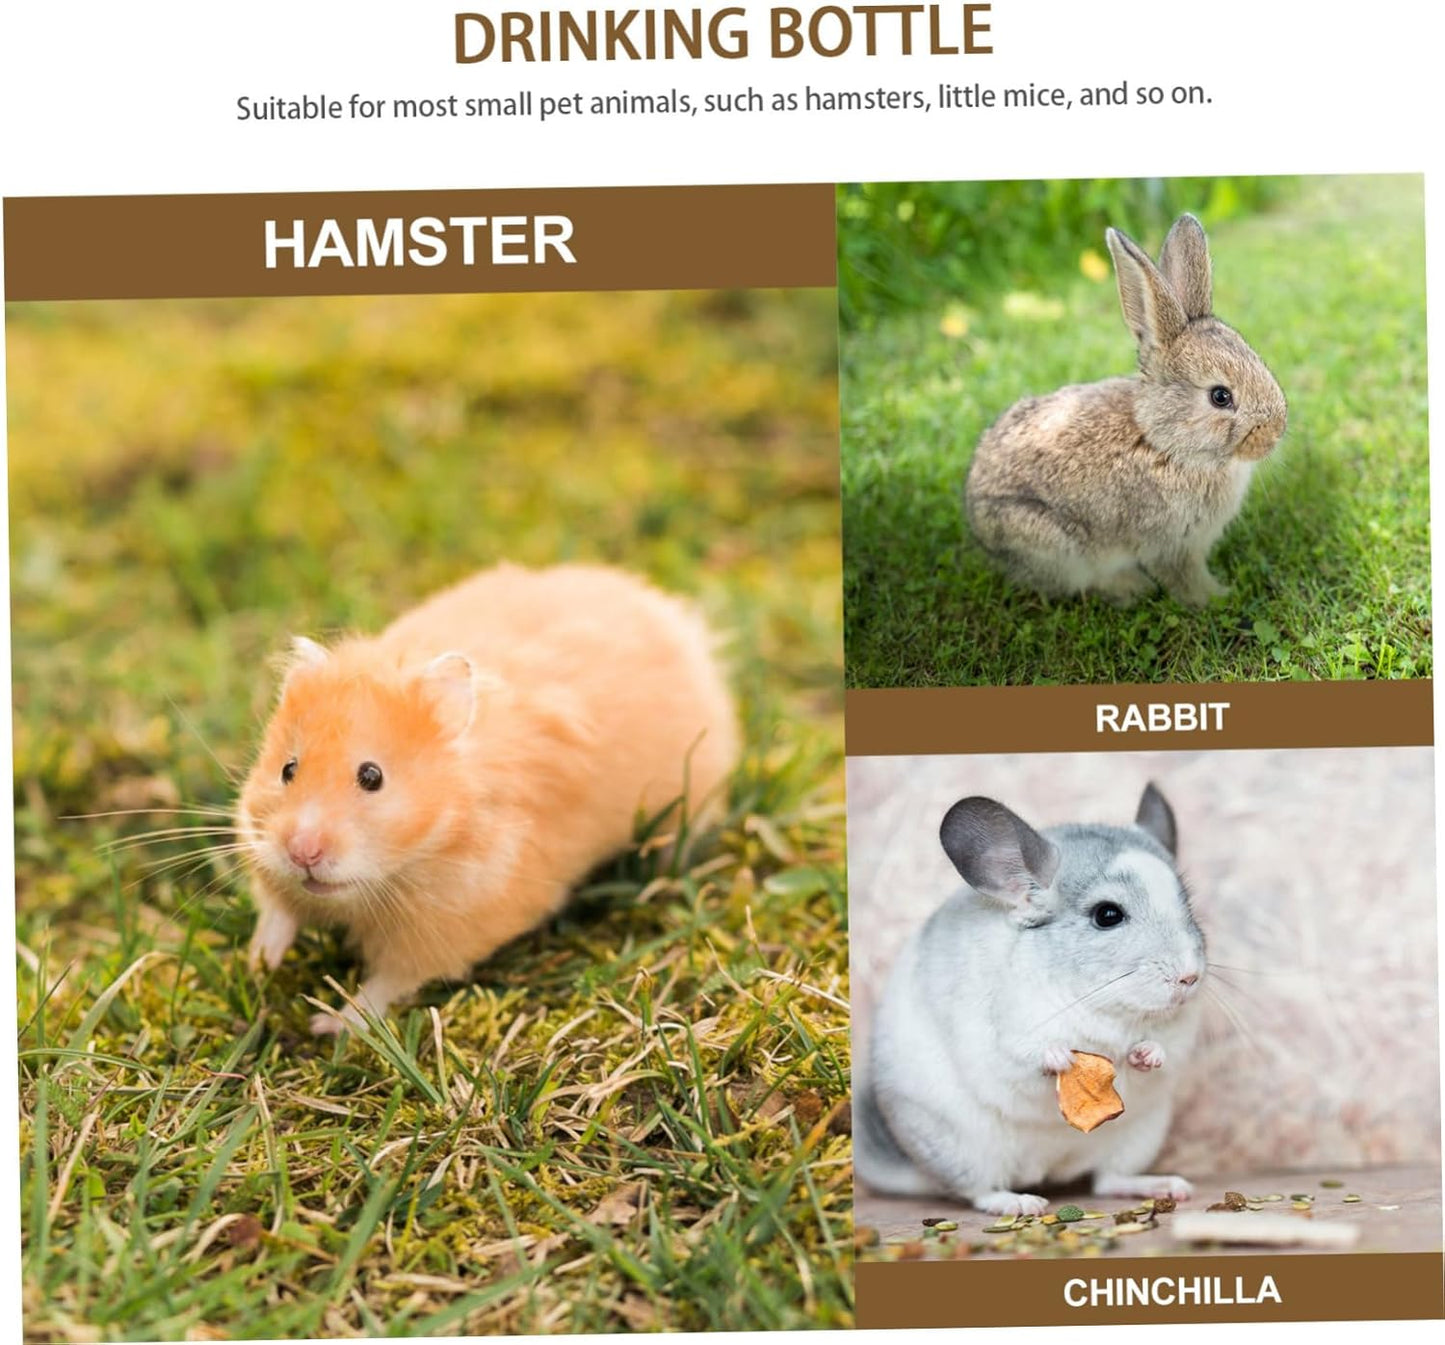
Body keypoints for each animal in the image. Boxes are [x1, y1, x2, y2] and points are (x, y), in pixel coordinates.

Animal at [855, 783, 1205, 1216]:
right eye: (1107, 914)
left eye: (1187, 907)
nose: (1190, 977)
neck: (1103, 1007)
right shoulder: (1005, 1034)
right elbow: (1025, 1057)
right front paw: (1059, 1057)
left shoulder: (1177, 1035)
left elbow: (1162, 1053)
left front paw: (1147, 1055)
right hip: (961, 1148)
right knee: (978, 1192)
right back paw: (1020, 1203)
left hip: (1139, 1137)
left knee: (1107, 1180)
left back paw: (1165, 1186)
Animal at [964, 213, 1287, 606]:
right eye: (1220, 397)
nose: (1275, 433)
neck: (1163, 444)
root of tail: (975, 522)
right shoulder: (1172, 545)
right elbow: (1185, 579)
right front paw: (1219, 597)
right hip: (1051, 543)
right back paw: (1131, 586)